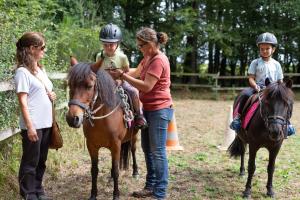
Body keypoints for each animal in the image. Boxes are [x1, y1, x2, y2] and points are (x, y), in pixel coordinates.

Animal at [65, 57, 139, 200]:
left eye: (89, 86)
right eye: (70, 85)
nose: (72, 118)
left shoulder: (116, 145)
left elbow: (116, 170)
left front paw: (116, 194)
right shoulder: (92, 146)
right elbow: (94, 170)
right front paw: (93, 194)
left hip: (134, 136)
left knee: (133, 150)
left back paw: (135, 171)